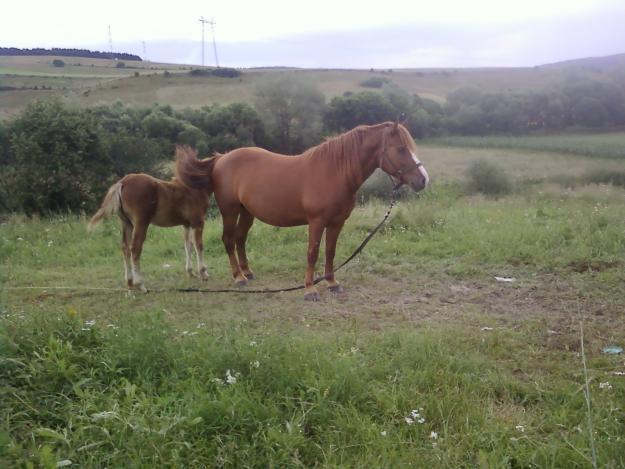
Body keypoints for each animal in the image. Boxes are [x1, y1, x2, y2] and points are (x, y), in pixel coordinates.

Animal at [88, 147, 212, 292]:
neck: (195, 187)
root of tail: (122, 182)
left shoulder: (186, 224)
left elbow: (188, 246)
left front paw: (191, 272)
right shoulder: (198, 222)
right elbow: (199, 245)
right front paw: (204, 274)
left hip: (126, 223)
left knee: (125, 247)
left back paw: (130, 282)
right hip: (141, 222)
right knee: (135, 248)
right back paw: (140, 284)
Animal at [176, 120, 428, 300]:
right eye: (401, 149)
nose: (423, 180)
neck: (334, 171)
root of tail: (221, 158)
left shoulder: (337, 222)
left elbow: (330, 252)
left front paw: (332, 284)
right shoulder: (316, 222)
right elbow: (312, 253)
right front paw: (310, 290)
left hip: (247, 212)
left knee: (239, 239)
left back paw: (247, 272)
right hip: (230, 210)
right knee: (228, 239)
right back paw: (238, 277)